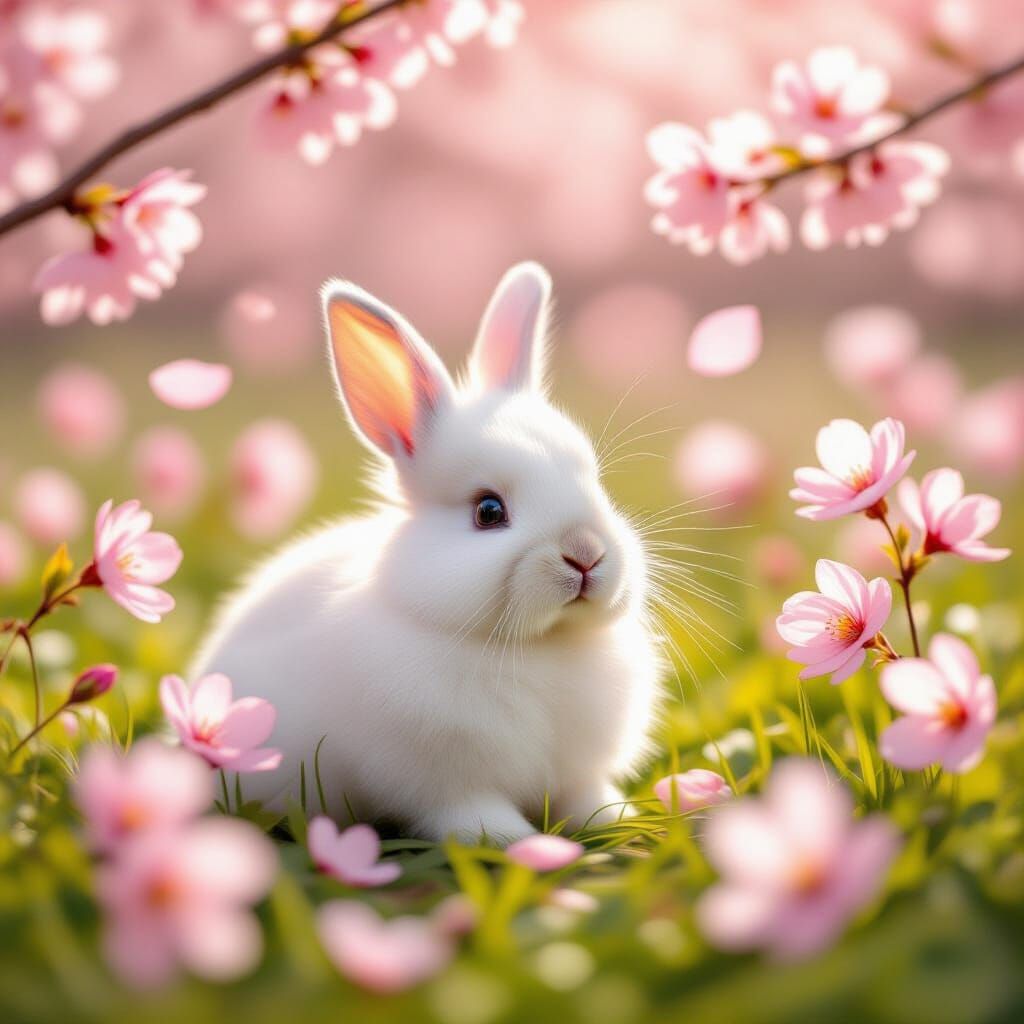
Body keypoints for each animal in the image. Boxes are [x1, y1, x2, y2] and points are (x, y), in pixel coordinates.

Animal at [191, 262, 664, 844]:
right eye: (488, 511)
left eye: (596, 483)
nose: (586, 554)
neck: (540, 647)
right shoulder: (444, 781)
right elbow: (468, 809)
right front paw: (510, 840)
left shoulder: (578, 772)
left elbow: (584, 797)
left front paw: (618, 819)